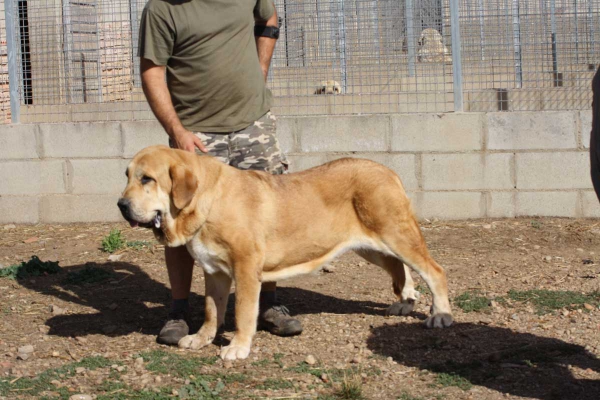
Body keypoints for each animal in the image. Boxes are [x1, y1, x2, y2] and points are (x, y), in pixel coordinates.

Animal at [119, 145, 452, 360]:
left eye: (147, 178)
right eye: (127, 175)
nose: (121, 205)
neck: (206, 200)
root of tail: (389, 171)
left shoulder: (245, 269)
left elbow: (242, 313)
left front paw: (238, 348)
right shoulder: (214, 272)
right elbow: (212, 311)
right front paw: (201, 339)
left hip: (396, 236)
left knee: (434, 271)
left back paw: (440, 315)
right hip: (372, 246)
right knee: (402, 269)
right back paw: (406, 303)